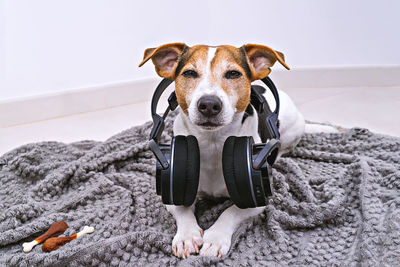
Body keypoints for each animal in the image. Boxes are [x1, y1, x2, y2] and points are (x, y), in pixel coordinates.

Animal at [139, 43, 332, 260]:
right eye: (189, 73)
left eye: (233, 74)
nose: (209, 104)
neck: (213, 143)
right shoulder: (174, 181)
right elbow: (181, 207)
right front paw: (187, 236)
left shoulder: (258, 197)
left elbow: (231, 212)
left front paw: (215, 238)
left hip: (293, 128)